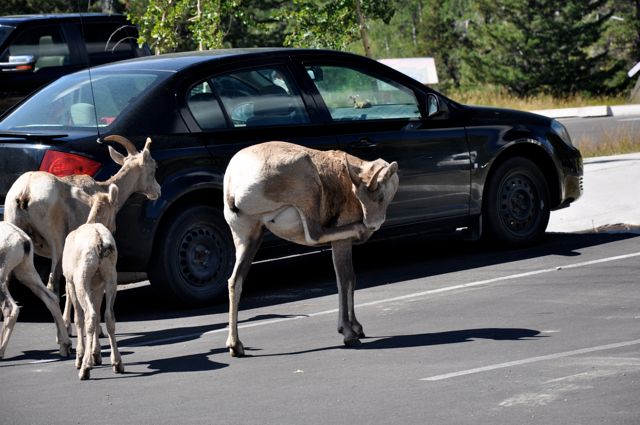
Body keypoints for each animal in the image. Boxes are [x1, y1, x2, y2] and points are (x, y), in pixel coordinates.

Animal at [4, 136, 161, 328]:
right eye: (153, 166)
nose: (158, 191)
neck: (103, 190)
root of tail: (25, 191)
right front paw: (72, 324)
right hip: (57, 243)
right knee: (53, 286)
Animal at [62, 184, 124, 380]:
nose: (115, 227)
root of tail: (99, 241)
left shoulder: (71, 283)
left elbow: (78, 319)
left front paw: (82, 357)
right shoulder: (97, 285)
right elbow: (98, 313)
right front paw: (96, 355)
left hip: (82, 280)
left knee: (89, 316)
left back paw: (84, 369)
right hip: (111, 279)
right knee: (108, 316)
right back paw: (117, 364)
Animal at [222, 140, 398, 354]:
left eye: (380, 197)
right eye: (359, 196)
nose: (370, 225)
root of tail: (235, 182)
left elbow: (350, 278)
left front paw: (356, 328)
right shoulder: (341, 243)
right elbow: (345, 279)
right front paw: (350, 333)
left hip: (249, 237)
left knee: (235, 281)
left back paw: (236, 346)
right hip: (306, 192)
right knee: (314, 234)